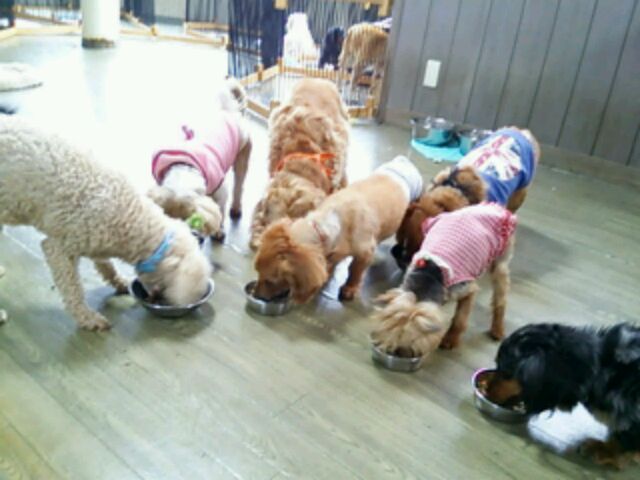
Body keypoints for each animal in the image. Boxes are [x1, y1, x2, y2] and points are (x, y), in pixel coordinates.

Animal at [0, 116, 211, 330]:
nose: (154, 298)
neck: (132, 219)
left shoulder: (98, 237)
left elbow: (105, 265)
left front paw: (119, 282)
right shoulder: (58, 249)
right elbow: (73, 289)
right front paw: (87, 317)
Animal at [147, 78, 251, 240]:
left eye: (191, 222)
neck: (184, 169)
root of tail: (226, 109)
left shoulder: (221, 192)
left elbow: (220, 212)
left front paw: (218, 230)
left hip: (242, 158)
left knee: (239, 186)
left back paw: (235, 208)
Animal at [253, 156, 423, 303]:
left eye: (270, 280)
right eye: (257, 272)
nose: (256, 295)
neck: (328, 224)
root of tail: (403, 161)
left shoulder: (364, 254)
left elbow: (355, 271)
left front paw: (350, 289)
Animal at [371, 203, 517, 358]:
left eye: (409, 342)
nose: (398, 353)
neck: (430, 274)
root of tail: (496, 207)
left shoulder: (468, 291)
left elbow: (460, 319)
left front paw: (450, 339)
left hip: (500, 261)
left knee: (500, 298)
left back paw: (497, 329)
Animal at [395, 127, 539, 262]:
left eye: (421, 248)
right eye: (402, 245)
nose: (402, 260)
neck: (457, 188)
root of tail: (521, 131)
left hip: (520, 193)